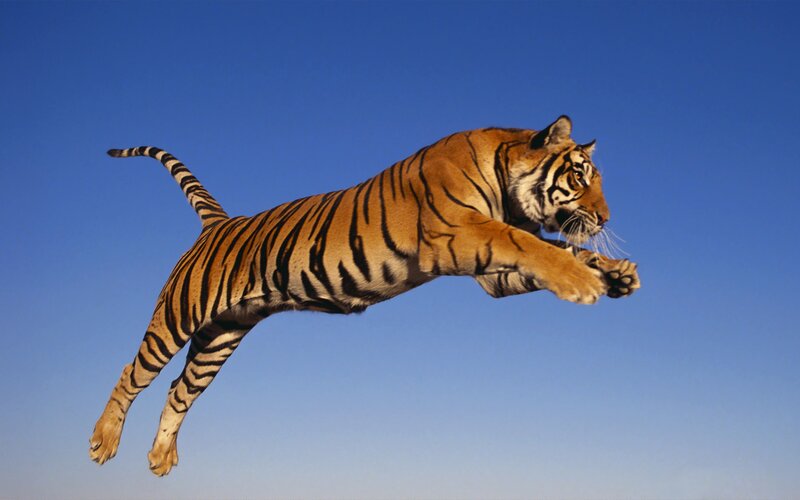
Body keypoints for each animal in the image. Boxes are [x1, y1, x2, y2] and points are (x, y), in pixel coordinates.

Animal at [89, 115, 640, 476]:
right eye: (578, 177)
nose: (606, 218)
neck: (506, 184)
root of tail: (219, 222)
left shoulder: (490, 275)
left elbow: (557, 248)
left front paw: (616, 273)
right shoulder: (460, 234)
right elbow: (534, 245)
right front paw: (584, 282)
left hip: (221, 337)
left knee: (179, 390)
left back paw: (160, 458)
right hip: (178, 316)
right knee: (132, 372)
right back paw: (102, 441)